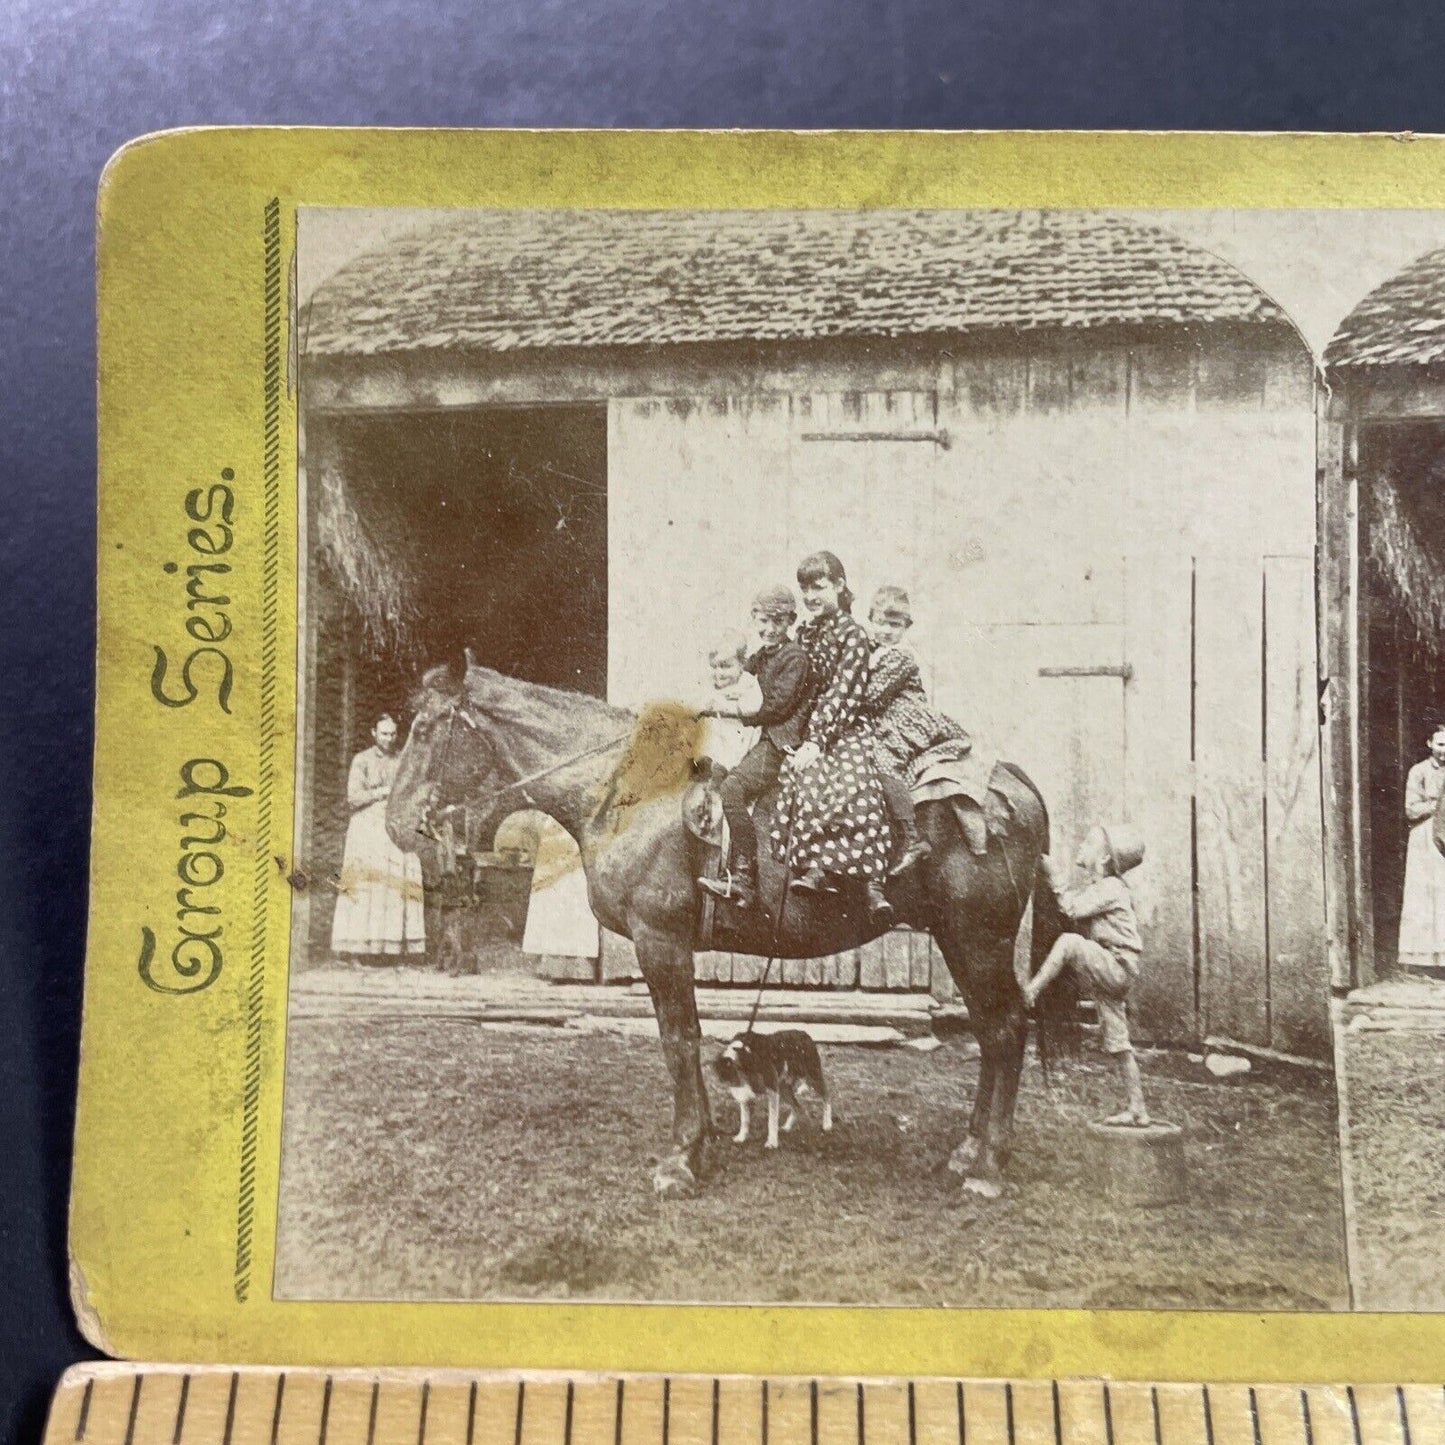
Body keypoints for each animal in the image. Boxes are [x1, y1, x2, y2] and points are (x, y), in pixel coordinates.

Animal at [710, 1034, 838, 1144]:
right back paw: (787, 1126)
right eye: (727, 1078)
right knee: (797, 1106)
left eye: (741, 1071)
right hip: (783, 1088)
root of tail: (805, 1034)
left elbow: (772, 1120)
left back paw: (827, 1124)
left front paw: (771, 1143)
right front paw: (741, 1137)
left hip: (813, 1077)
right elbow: (744, 1119)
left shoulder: (772, 1091)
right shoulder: (747, 1097)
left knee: (827, 1096)